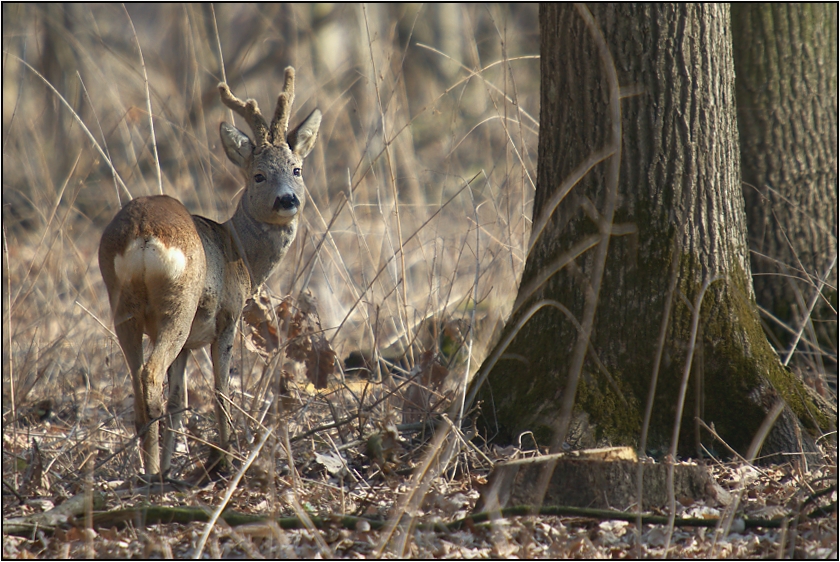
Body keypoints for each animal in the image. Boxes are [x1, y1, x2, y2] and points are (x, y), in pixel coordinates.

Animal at [98, 68, 320, 474]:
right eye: (259, 175)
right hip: (179, 306)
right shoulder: (228, 318)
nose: (288, 200)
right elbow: (221, 391)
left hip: (123, 306)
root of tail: (142, 233)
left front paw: (176, 459)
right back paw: (157, 473)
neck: (240, 252)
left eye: (297, 169)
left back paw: (151, 471)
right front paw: (226, 457)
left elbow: (178, 403)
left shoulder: (188, 346)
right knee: (150, 376)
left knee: (140, 388)